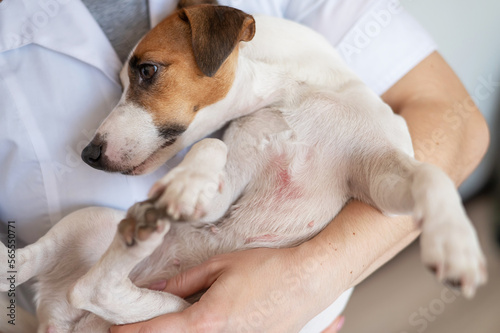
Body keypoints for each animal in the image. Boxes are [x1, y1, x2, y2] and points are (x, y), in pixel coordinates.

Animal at [0, 1, 486, 330]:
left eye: (147, 71)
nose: (88, 154)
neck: (295, 91)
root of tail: (67, 319)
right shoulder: (226, 181)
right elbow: (212, 149)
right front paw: (188, 180)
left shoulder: (379, 177)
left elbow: (430, 175)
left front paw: (453, 241)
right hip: (91, 224)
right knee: (57, 272)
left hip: (172, 302)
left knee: (97, 288)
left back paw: (142, 231)